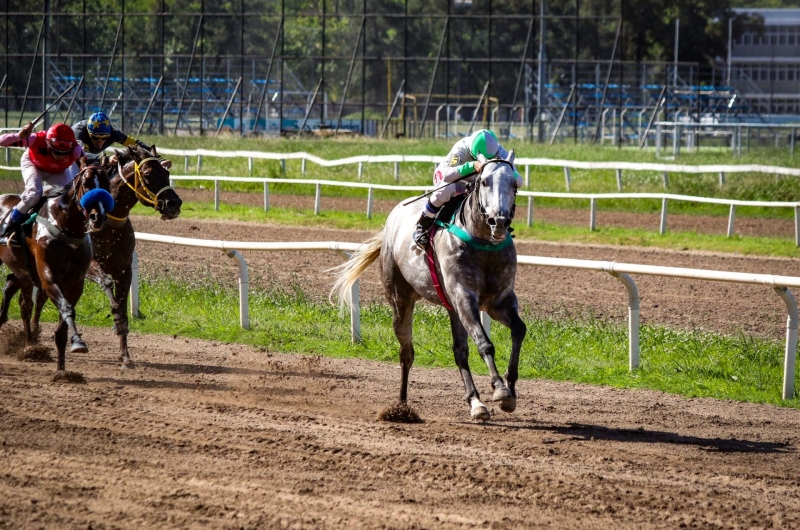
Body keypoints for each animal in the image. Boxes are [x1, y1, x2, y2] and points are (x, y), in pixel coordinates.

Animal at [0, 158, 112, 376]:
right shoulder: (48, 278)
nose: (98, 217)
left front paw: (62, 370)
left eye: (106, 184)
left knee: (15, 292)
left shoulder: (75, 283)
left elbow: (63, 322)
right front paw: (77, 342)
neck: (66, 227)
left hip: (22, 272)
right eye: (86, 183)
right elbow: (66, 309)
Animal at [30, 145, 182, 368]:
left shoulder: (124, 270)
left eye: (166, 173)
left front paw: (125, 354)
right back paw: (32, 339)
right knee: (40, 297)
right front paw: (115, 318)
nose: (174, 203)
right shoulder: (89, 265)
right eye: (147, 174)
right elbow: (107, 284)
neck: (109, 225)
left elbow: (123, 305)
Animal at [332, 150, 524, 420]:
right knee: (406, 353)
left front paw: (511, 388)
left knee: (459, 351)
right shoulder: (464, 297)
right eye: (484, 181)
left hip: (452, 308)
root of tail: (391, 221)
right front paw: (500, 389)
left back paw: (476, 403)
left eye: (513, 183)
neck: (483, 244)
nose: (499, 221)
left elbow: (519, 330)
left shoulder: (498, 301)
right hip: (401, 300)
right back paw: (401, 407)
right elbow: (484, 343)